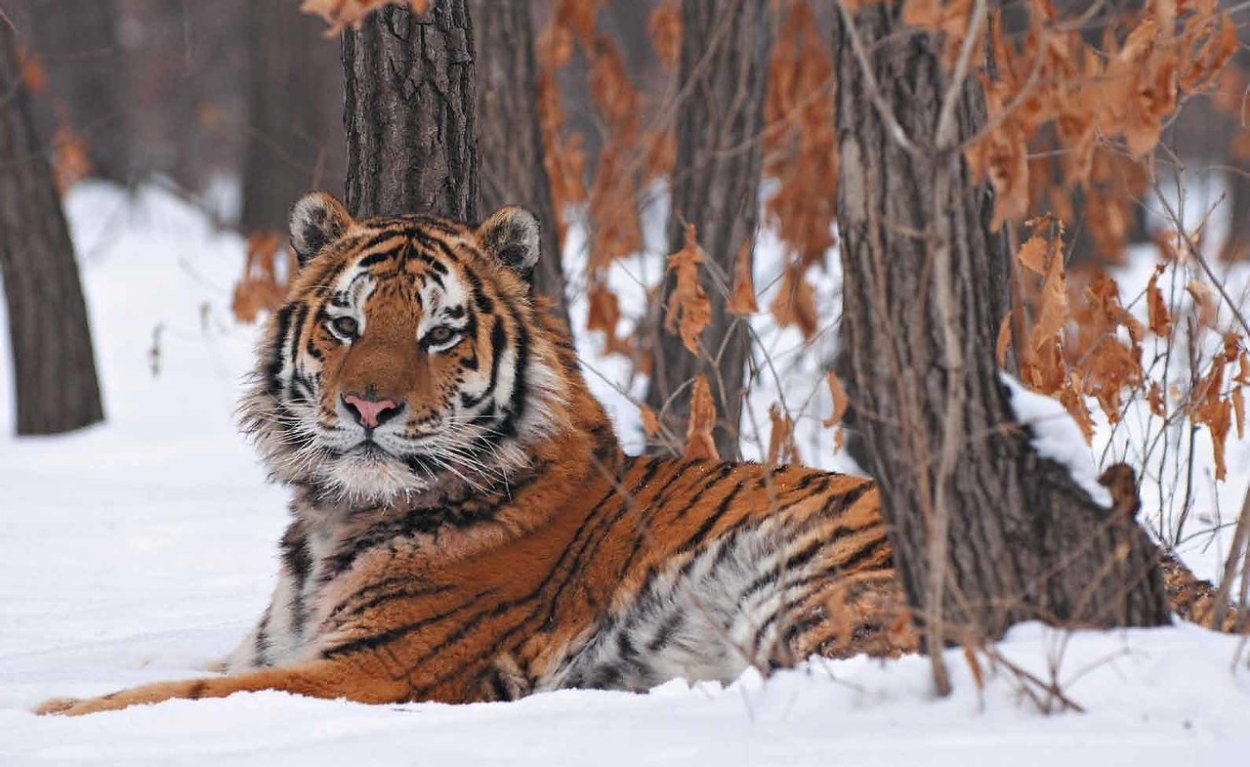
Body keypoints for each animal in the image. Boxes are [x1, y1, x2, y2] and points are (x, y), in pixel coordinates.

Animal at [35, 192, 1236, 716]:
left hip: (803, 591)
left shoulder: (371, 667)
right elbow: (183, 672)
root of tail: (1178, 572)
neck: (336, 514)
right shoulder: (282, 640)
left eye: (438, 331)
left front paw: (51, 717)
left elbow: (172, 694)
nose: (368, 405)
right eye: (343, 323)